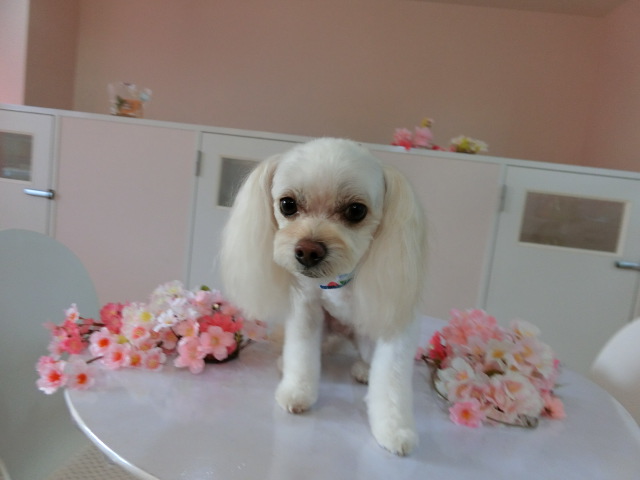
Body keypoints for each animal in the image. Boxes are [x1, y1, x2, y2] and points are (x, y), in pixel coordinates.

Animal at [220, 138, 427, 455]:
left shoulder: (397, 321)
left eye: (356, 211)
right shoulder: (306, 309)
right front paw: (296, 392)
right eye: (287, 204)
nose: (308, 251)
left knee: (370, 360)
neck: (337, 282)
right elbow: (301, 354)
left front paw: (395, 429)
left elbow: (392, 381)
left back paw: (364, 370)